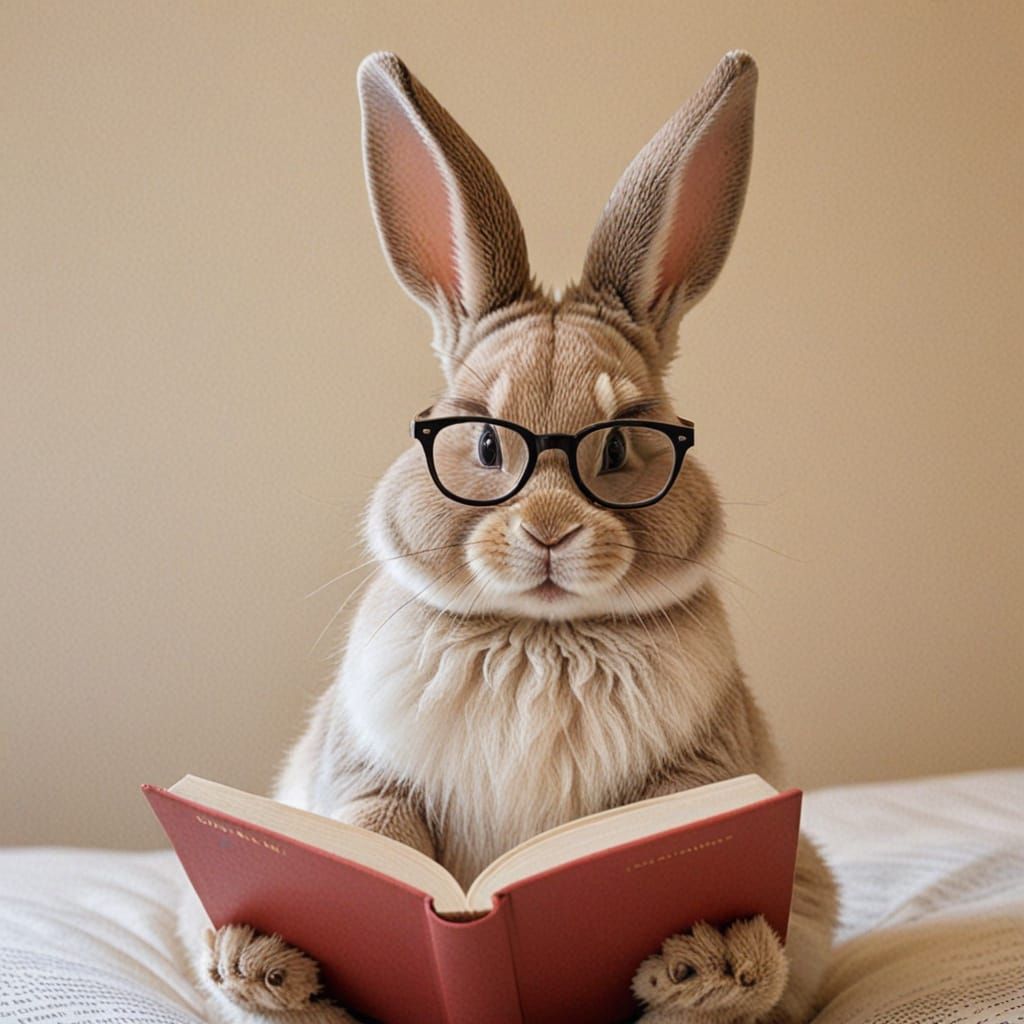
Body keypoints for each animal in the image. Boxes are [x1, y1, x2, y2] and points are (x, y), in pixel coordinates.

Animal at [181, 49, 838, 1024]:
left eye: (620, 444)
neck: (541, 636)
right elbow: (384, 839)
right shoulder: (366, 774)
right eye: (487, 444)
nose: (550, 532)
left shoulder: (701, 771)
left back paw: (712, 965)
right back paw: (263, 966)